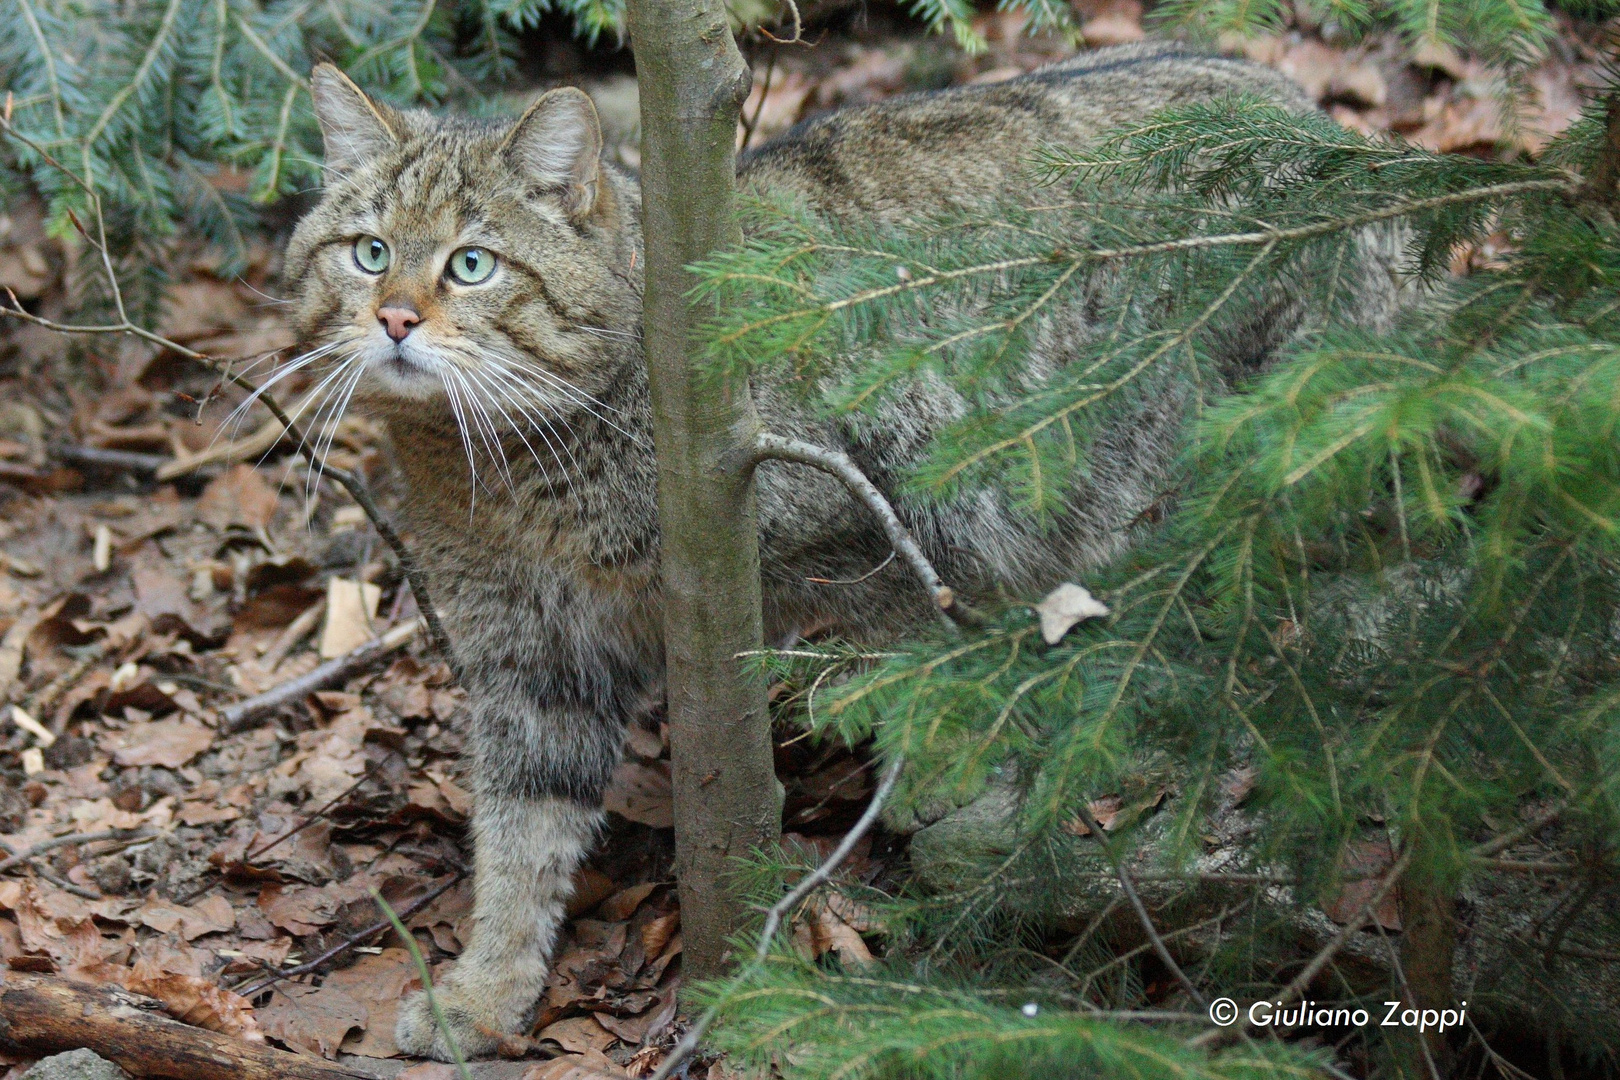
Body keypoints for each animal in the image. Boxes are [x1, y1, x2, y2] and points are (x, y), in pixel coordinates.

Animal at [285, 46, 1399, 1062]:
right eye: (369, 251)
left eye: (471, 264)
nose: (395, 317)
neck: (508, 473)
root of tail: (1323, 122)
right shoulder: (532, 659)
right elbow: (520, 838)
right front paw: (486, 991)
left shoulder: (886, 515)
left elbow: (910, 656)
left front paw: (946, 786)